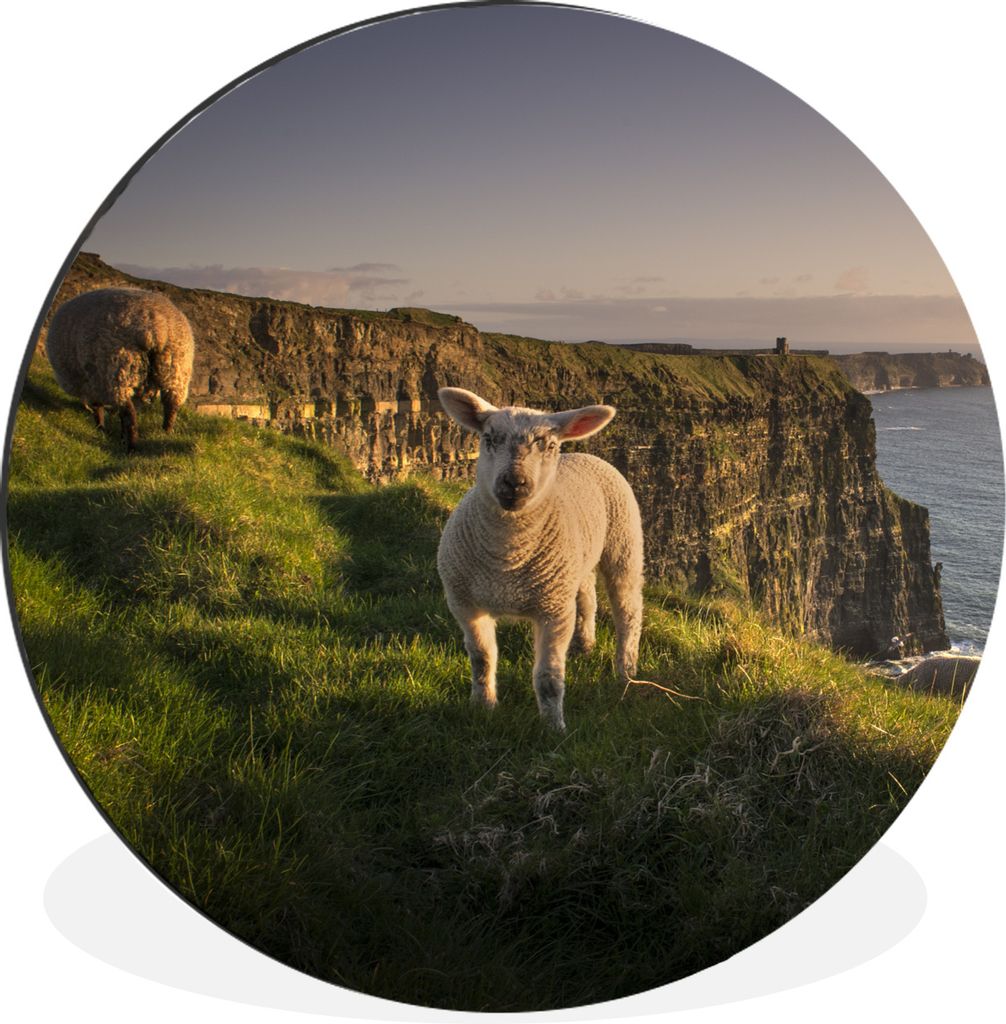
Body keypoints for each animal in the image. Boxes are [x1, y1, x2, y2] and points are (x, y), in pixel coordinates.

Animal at [45, 287, 194, 452]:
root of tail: (157, 326)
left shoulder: (93, 382)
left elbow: (98, 407)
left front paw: (100, 428)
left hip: (118, 369)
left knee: (128, 413)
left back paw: (131, 446)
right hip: (176, 368)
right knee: (170, 406)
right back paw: (165, 433)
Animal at [436, 386, 647, 730]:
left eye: (549, 445)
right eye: (489, 438)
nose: (514, 483)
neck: (507, 559)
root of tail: (585, 454)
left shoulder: (554, 612)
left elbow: (548, 677)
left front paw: (554, 728)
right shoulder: (465, 604)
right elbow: (482, 658)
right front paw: (483, 706)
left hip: (624, 544)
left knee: (628, 610)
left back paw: (626, 670)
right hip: (574, 565)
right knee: (587, 598)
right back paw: (584, 645)